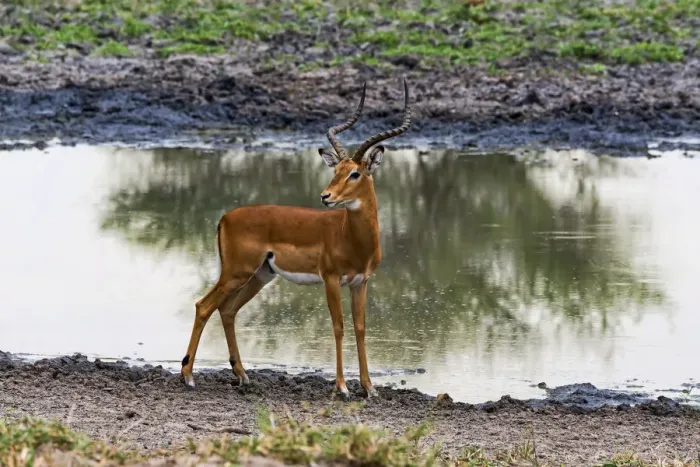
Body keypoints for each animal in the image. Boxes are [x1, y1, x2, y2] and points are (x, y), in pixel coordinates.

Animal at [180, 79, 411, 398]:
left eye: (354, 173)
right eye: (336, 170)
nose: (326, 196)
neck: (351, 238)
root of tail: (225, 217)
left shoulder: (361, 282)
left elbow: (361, 328)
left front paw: (369, 387)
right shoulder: (330, 279)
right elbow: (338, 326)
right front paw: (342, 386)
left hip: (260, 276)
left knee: (227, 310)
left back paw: (243, 376)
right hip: (236, 272)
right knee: (204, 306)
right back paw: (188, 376)